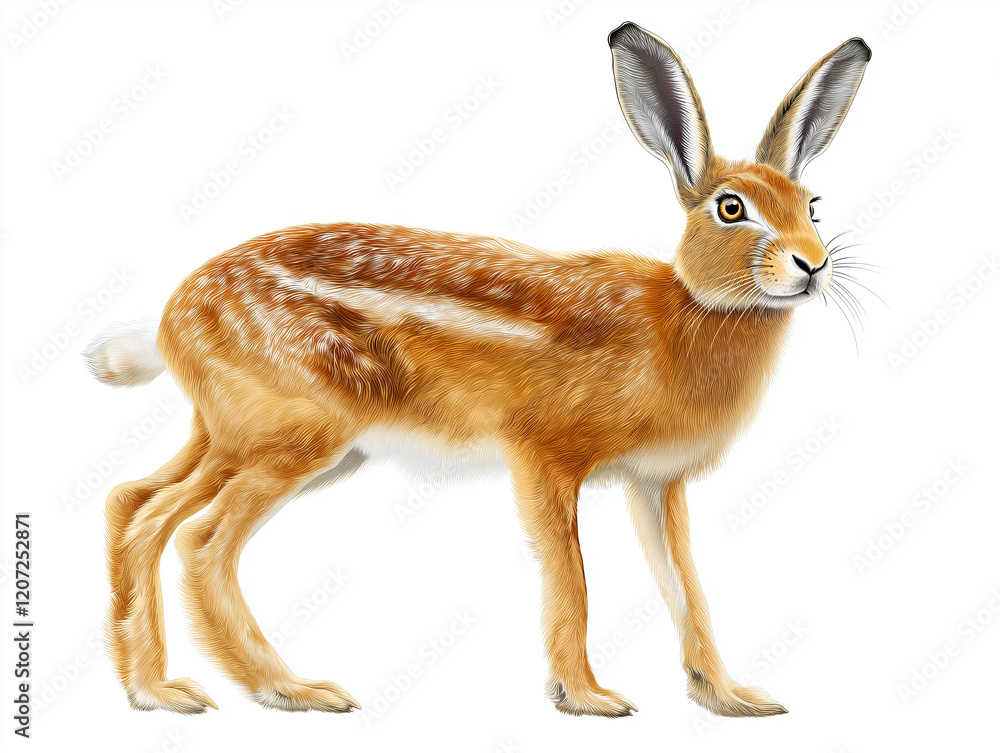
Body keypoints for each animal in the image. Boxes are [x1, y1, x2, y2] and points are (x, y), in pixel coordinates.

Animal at [84, 22, 870, 718]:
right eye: (731, 207)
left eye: (813, 206)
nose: (811, 265)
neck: (685, 313)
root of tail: (173, 318)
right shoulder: (547, 457)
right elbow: (572, 577)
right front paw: (588, 698)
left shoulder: (655, 483)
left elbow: (685, 585)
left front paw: (732, 699)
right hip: (294, 435)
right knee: (201, 541)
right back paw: (292, 690)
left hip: (254, 439)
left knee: (138, 506)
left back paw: (156, 691)